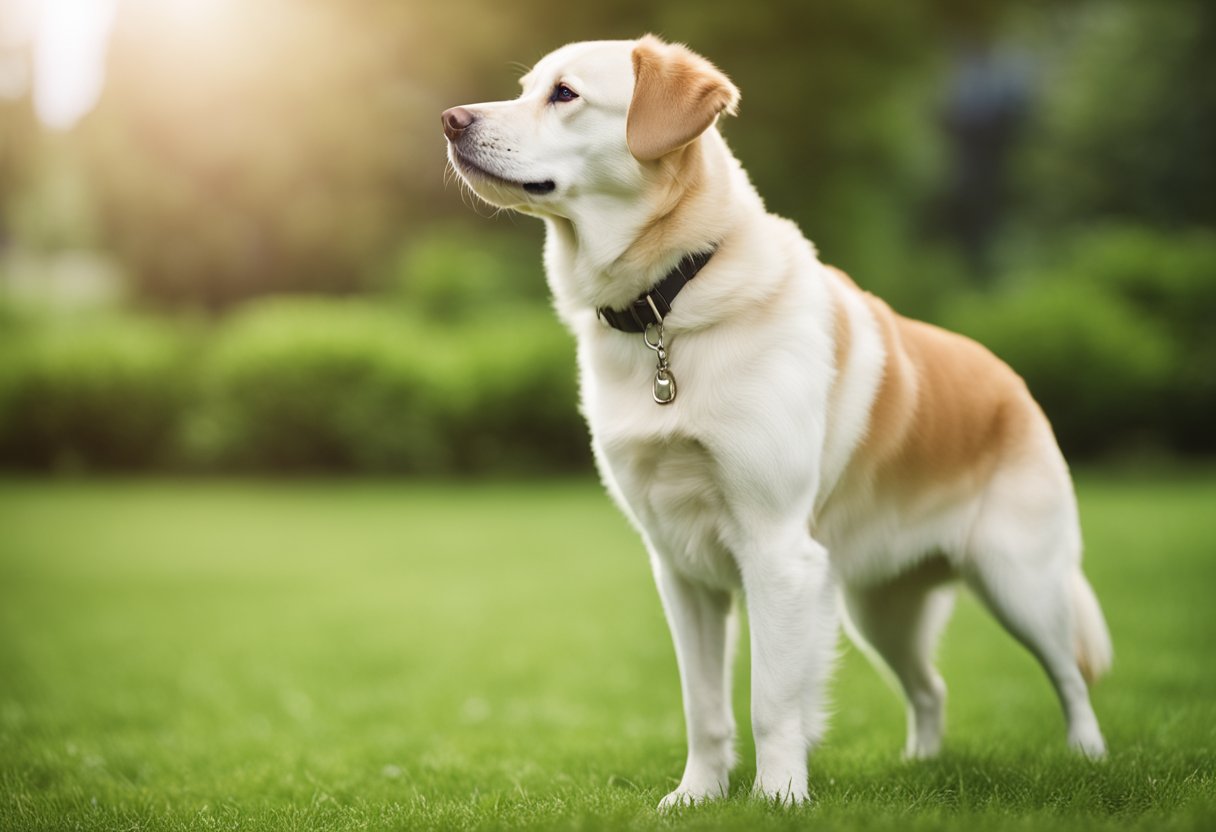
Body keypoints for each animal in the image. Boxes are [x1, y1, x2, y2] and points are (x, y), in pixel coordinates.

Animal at [440, 37, 1113, 807]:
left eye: (565, 94)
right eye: (527, 88)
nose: (450, 120)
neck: (669, 302)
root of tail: (1013, 383)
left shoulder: (777, 553)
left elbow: (771, 701)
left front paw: (779, 798)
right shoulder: (681, 569)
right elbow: (703, 706)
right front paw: (695, 797)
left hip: (1021, 582)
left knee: (1072, 676)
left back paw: (1088, 758)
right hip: (880, 611)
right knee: (931, 688)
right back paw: (922, 767)